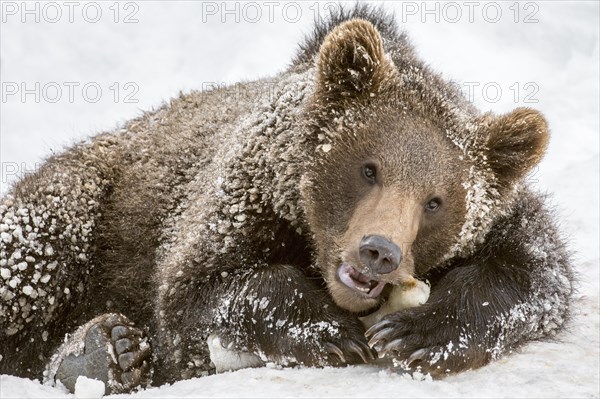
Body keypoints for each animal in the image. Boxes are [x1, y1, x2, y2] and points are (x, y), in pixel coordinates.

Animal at [0, 4, 572, 396]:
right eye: (369, 168)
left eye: (435, 201)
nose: (379, 251)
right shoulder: (236, 198)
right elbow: (200, 295)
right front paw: (332, 331)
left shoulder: (509, 219)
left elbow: (534, 273)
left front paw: (415, 332)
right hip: (87, 199)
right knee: (34, 254)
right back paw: (103, 349)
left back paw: (104, 351)